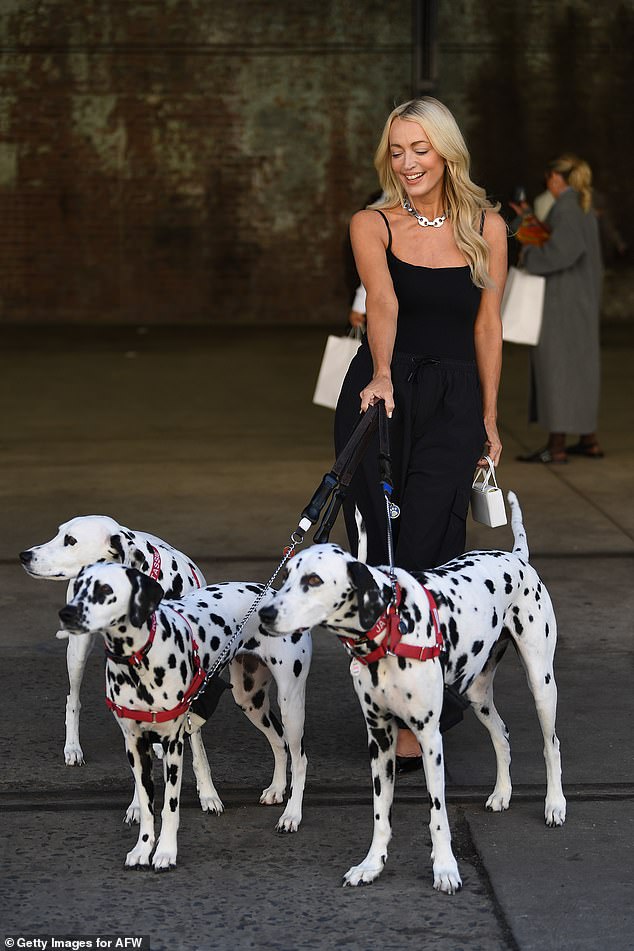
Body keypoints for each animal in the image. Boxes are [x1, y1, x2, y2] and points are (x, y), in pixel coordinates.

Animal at [58, 564, 310, 872]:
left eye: (105, 589)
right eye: (79, 586)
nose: (67, 613)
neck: (141, 660)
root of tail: (273, 594)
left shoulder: (173, 745)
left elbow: (169, 807)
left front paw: (165, 853)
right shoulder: (135, 746)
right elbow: (146, 806)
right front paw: (142, 849)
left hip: (290, 704)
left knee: (299, 758)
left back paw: (292, 815)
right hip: (250, 699)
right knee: (279, 742)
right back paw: (276, 789)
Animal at [260, 494, 564, 896]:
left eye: (313, 579)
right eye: (287, 577)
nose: (265, 612)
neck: (391, 625)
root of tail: (517, 557)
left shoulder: (430, 738)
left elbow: (437, 814)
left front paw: (446, 868)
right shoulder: (379, 739)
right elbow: (380, 812)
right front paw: (371, 865)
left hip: (541, 683)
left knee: (551, 744)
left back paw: (555, 804)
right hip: (478, 693)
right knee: (501, 734)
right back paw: (502, 792)